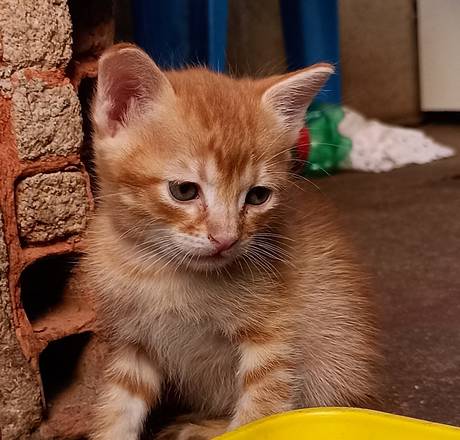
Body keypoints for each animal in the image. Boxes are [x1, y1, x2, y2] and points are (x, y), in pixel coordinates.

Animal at [83, 43, 378, 440]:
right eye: (184, 190)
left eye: (257, 196)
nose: (226, 239)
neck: (161, 272)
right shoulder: (132, 345)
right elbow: (117, 410)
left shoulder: (272, 341)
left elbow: (259, 415)